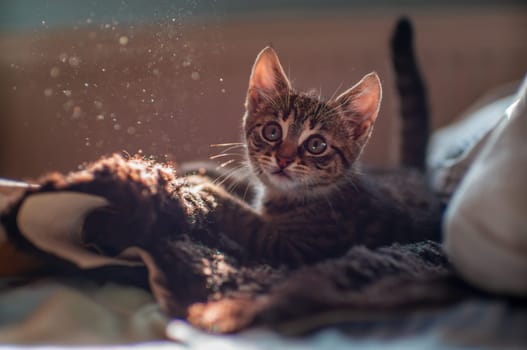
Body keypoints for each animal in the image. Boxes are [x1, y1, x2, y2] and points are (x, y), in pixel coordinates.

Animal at [187, 42, 442, 266]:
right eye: (272, 132)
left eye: (316, 145)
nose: (283, 159)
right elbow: (247, 182)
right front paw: (200, 171)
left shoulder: (302, 249)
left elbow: (250, 223)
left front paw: (207, 191)